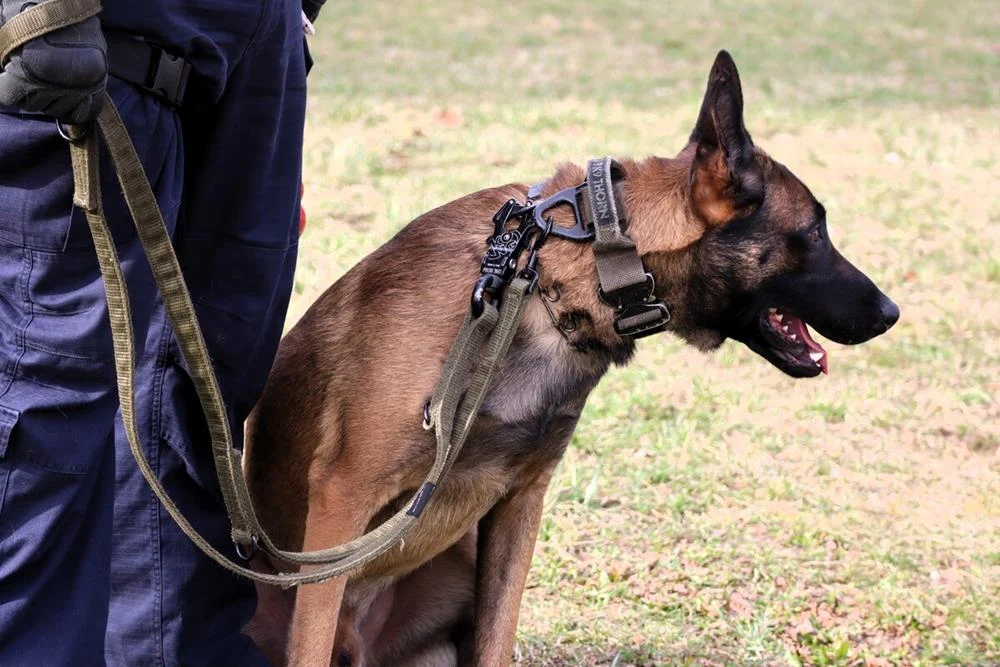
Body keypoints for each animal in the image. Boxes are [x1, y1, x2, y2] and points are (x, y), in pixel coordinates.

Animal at [243, 50, 899, 666]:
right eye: (814, 233)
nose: (892, 312)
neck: (540, 282)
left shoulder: (520, 501)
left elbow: (498, 642)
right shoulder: (343, 497)